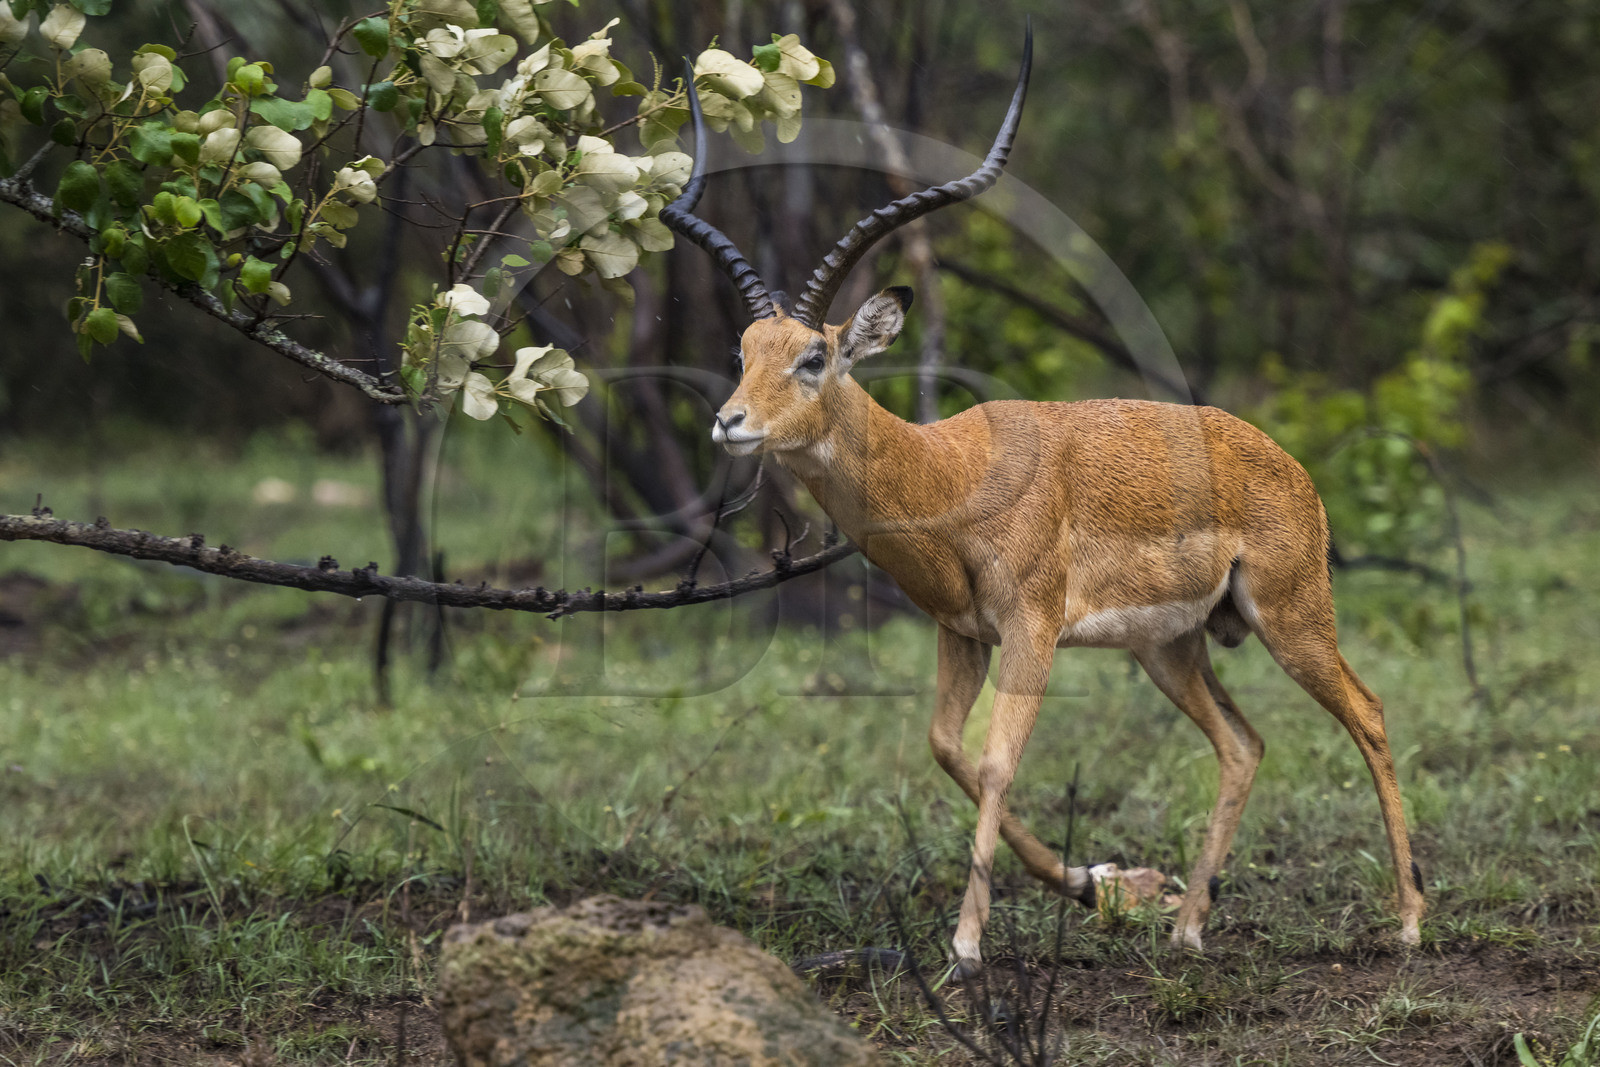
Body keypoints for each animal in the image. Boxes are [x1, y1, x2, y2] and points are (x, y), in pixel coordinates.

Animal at [662, 27, 1424, 977]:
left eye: (815, 355)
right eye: (743, 349)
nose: (730, 422)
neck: (946, 472)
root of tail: (1288, 465)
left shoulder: (1032, 626)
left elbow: (994, 762)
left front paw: (966, 946)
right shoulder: (960, 632)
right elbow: (947, 747)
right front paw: (1091, 884)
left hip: (1290, 617)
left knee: (1369, 711)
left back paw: (1409, 920)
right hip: (1170, 647)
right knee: (1243, 742)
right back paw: (1187, 925)